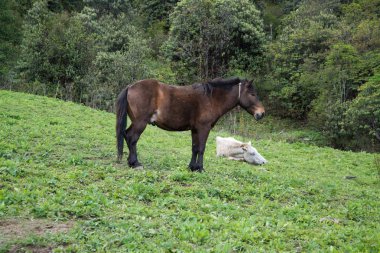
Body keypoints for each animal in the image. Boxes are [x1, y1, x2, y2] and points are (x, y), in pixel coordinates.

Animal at [116, 77, 264, 172]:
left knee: (126, 135)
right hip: (140, 123)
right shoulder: (204, 128)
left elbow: (194, 148)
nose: (261, 113)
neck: (211, 99)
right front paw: (200, 168)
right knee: (132, 138)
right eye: (252, 94)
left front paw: (192, 167)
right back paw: (135, 163)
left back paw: (131, 162)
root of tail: (130, 87)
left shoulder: (195, 130)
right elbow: (201, 148)